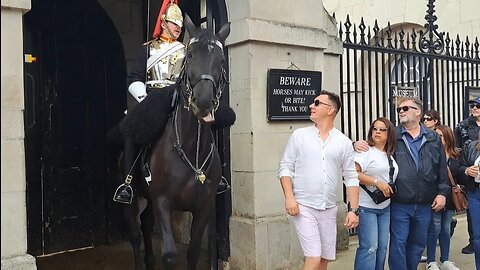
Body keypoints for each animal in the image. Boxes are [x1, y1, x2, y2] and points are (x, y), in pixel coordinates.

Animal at [121, 15, 232, 270]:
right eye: (190, 55)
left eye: (221, 60)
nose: (203, 102)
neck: (192, 150)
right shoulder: (163, 202)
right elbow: (170, 255)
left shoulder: (203, 207)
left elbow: (193, 251)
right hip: (133, 199)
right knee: (134, 235)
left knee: (145, 223)